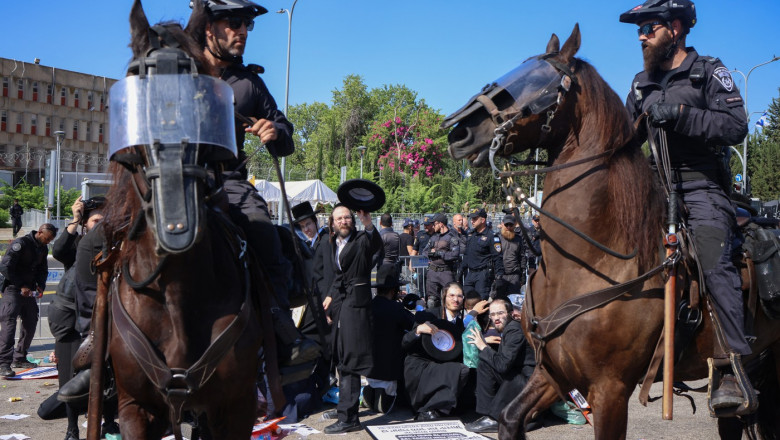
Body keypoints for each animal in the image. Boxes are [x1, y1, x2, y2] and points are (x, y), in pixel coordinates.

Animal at [442, 24, 780, 440]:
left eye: (539, 82)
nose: (458, 133)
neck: (592, 259)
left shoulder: (610, 389)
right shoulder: (553, 372)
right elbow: (509, 417)